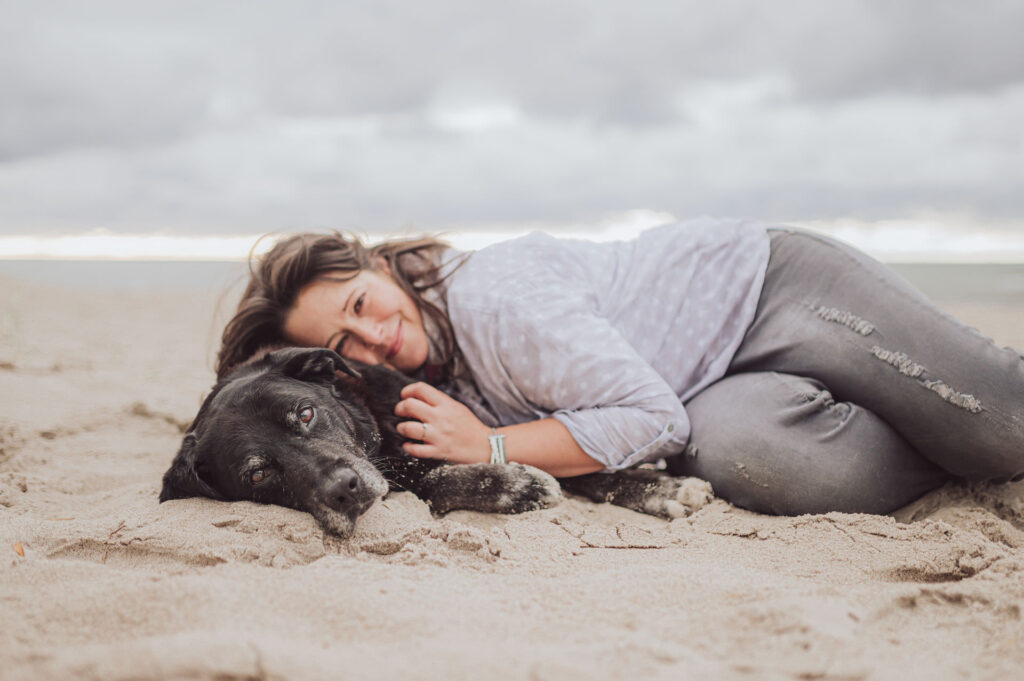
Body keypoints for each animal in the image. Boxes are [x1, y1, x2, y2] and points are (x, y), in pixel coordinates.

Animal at [159, 348, 708, 532]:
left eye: (306, 414)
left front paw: (661, 488)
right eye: (257, 474)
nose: (344, 491)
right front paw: (516, 487)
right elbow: (438, 479)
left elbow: (590, 466)